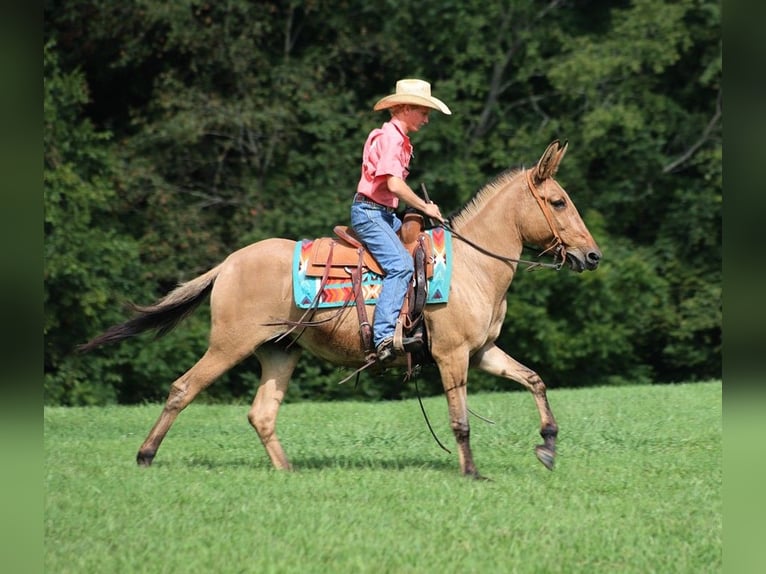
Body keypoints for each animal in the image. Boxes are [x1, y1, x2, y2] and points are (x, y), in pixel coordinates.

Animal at [79, 140, 601, 478]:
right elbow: (461, 420)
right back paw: (146, 456)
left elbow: (534, 379)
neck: (472, 266)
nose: (593, 256)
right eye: (558, 201)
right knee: (183, 389)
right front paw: (472, 473)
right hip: (228, 345)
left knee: (261, 414)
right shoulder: (452, 356)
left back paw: (288, 471)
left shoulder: (482, 352)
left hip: (279, 351)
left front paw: (548, 445)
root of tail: (228, 263)